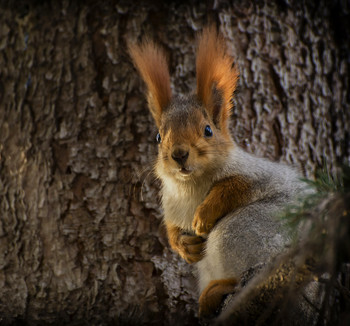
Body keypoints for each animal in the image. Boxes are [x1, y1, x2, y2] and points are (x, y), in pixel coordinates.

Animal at [128, 26, 306, 320]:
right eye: (158, 137)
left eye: (208, 130)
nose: (179, 154)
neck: (190, 185)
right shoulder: (172, 205)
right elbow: (172, 228)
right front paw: (184, 245)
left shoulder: (256, 174)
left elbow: (235, 187)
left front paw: (203, 215)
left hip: (244, 232)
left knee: (244, 277)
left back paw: (220, 289)